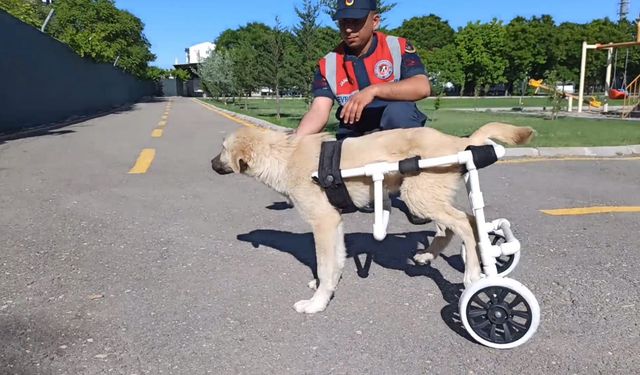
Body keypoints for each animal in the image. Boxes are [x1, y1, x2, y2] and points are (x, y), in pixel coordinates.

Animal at [212, 123, 532, 314]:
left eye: (223, 150)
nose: (211, 163)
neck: (283, 156)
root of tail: (458, 141)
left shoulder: (324, 223)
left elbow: (325, 264)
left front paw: (317, 304)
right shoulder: (335, 223)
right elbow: (335, 262)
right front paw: (327, 286)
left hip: (419, 197)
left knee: (464, 224)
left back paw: (474, 274)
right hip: (430, 197)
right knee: (463, 222)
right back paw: (434, 256)